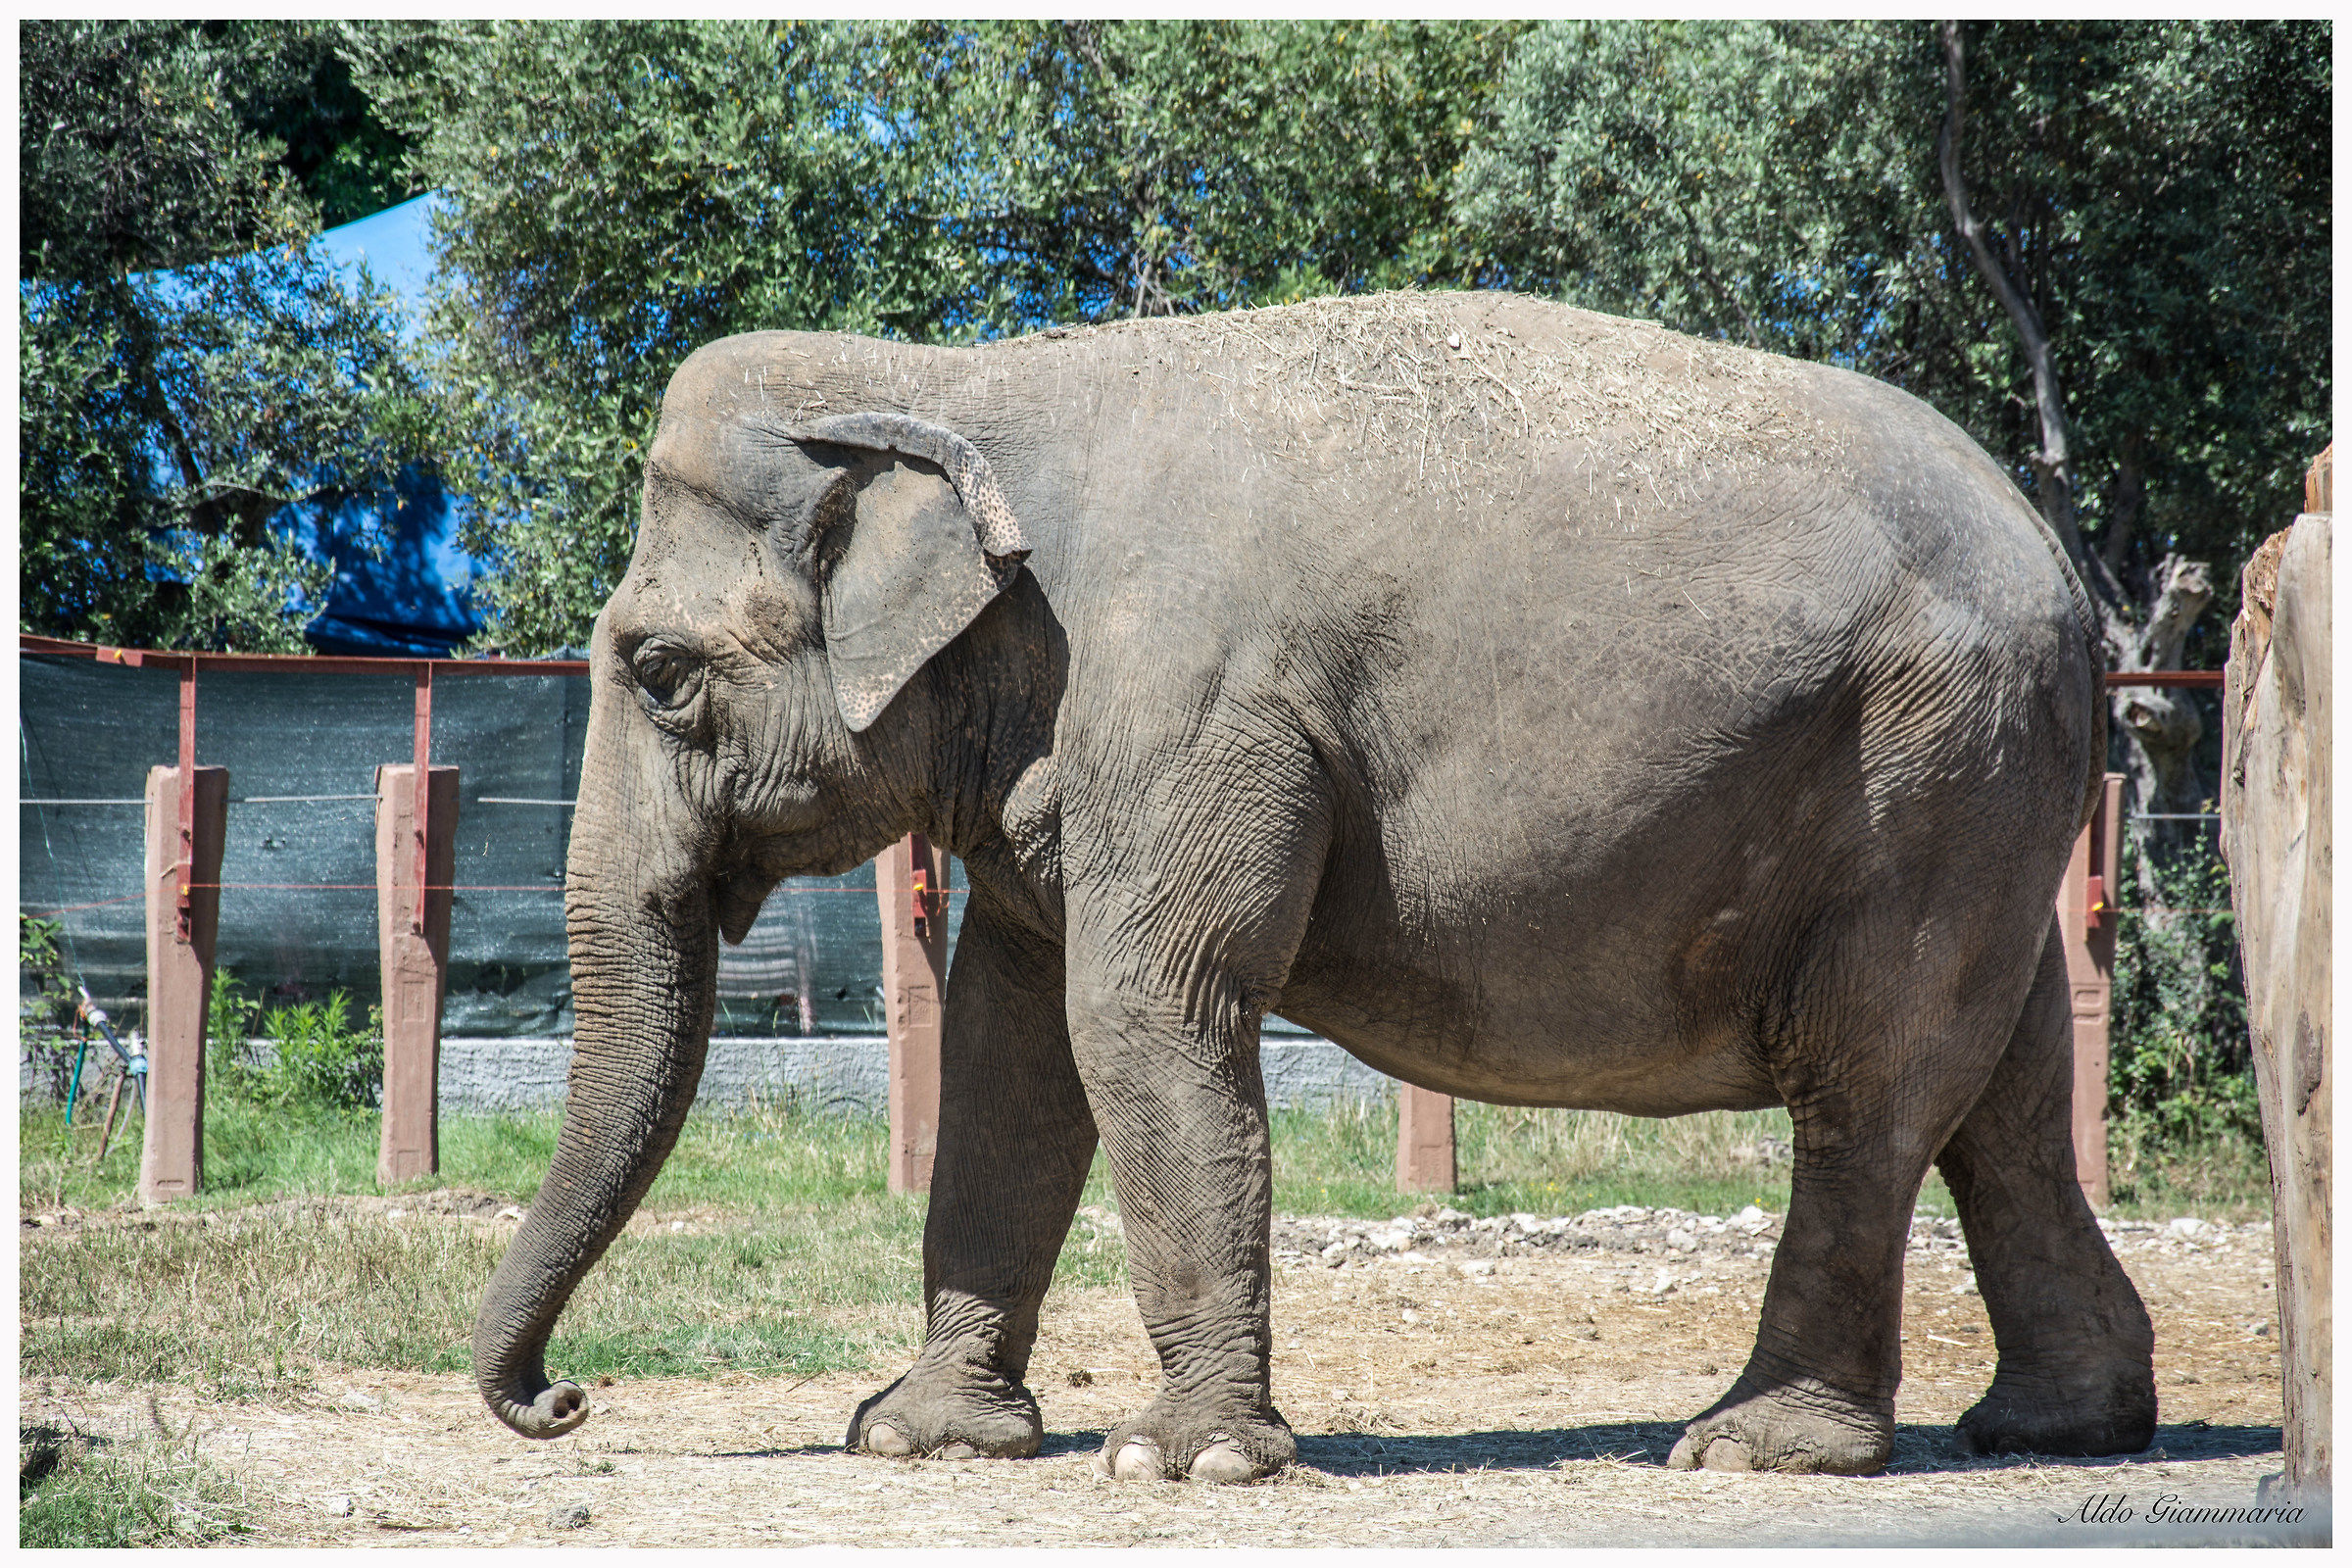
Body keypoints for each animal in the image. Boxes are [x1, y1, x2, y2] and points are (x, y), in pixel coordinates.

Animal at [472, 290, 2157, 1480]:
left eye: (661, 674)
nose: (563, 1399)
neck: (959, 381)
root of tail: (2067, 575)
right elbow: (1013, 1046)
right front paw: (918, 1437)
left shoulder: (1190, 703)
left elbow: (1140, 1014)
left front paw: (1185, 1463)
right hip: (1986, 787)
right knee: (2002, 1089)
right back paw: (2062, 1428)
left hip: (1926, 758)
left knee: (1868, 1083)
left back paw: (1754, 1447)